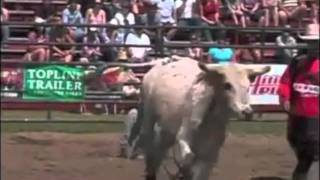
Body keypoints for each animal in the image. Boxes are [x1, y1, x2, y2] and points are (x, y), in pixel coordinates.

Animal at [127, 57, 270, 180]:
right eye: (227, 85)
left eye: (248, 86)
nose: (246, 110)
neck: (210, 118)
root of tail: (160, 64)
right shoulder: (183, 136)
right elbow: (188, 157)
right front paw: (182, 171)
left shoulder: (210, 154)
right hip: (149, 117)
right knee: (149, 144)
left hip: (167, 129)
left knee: (159, 148)